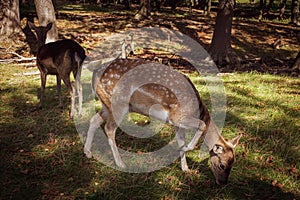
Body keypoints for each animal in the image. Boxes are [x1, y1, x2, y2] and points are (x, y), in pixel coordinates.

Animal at [84, 57, 241, 184]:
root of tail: (95, 71)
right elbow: (201, 125)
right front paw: (187, 149)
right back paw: (120, 163)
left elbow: (181, 141)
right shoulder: (176, 116)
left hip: (106, 104)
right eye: (222, 165)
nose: (223, 183)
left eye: (233, 164)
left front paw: (186, 168)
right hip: (118, 104)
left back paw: (88, 152)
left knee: (94, 120)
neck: (198, 110)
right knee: (109, 128)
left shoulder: (177, 124)